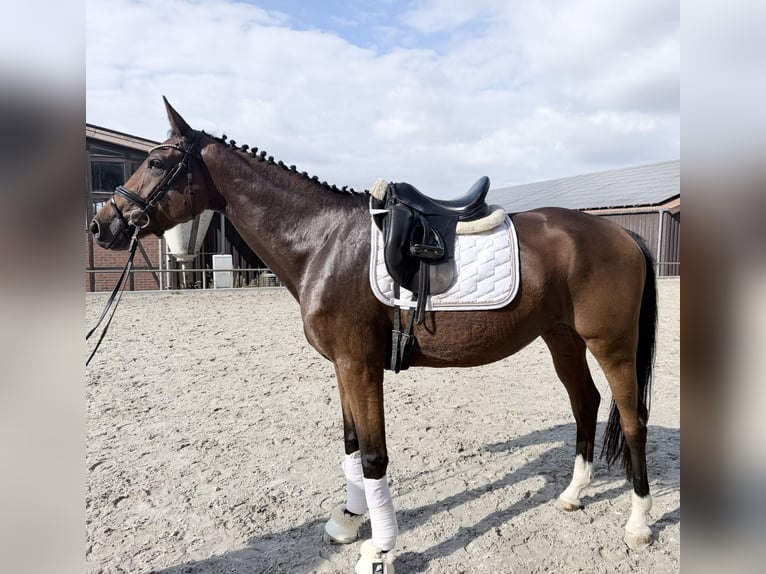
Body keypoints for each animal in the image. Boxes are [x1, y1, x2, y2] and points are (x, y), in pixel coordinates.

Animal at [89, 98, 657, 573]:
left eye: (156, 163)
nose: (102, 225)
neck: (322, 240)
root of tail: (622, 233)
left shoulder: (360, 365)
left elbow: (373, 455)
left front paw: (380, 549)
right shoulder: (343, 365)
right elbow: (350, 445)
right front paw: (347, 520)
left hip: (611, 345)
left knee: (633, 420)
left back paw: (639, 523)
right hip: (562, 338)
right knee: (585, 403)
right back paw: (574, 494)